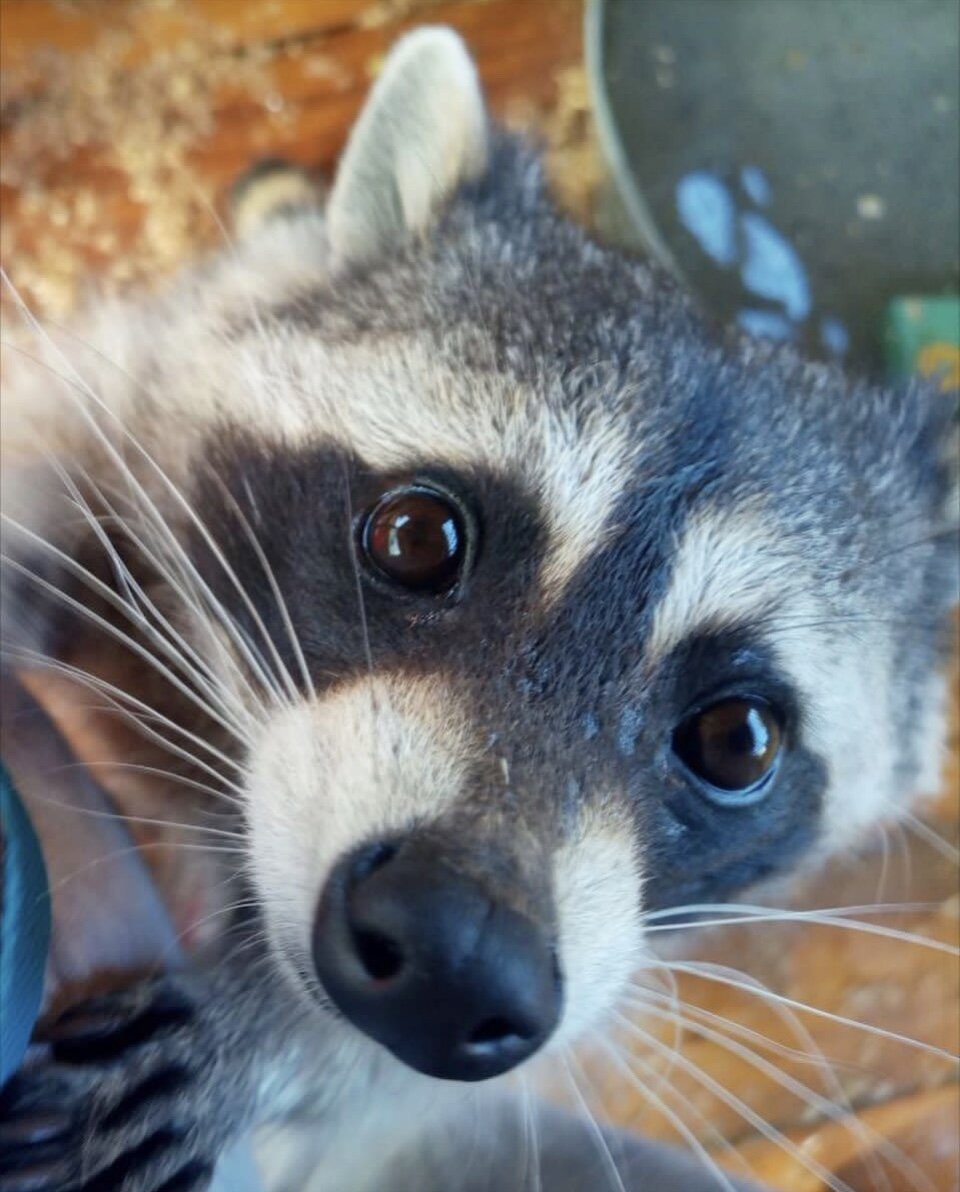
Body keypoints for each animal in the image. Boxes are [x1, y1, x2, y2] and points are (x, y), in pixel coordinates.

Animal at [0, 25, 954, 1192]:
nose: (453, 961)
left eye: (736, 738)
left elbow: (419, 1082)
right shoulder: (136, 369)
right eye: (417, 539)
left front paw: (273, 1037)